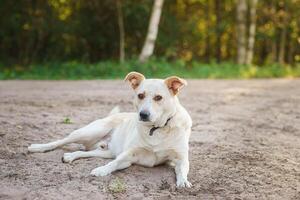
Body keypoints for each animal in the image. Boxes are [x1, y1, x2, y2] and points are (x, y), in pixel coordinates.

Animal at [28, 72, 192, 188]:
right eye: (140, 95)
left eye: (158, 97)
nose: (143, 114)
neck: (156, 128)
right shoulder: (128, 154)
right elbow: (113, 164)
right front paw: (101, 170)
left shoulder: (181, 159)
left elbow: (182, 169)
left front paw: (183, 182)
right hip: (91, 131)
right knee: (60, 141)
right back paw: (37, 147)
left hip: (107, 151)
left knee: (85, 152)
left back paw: (70, 156)